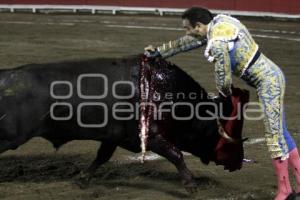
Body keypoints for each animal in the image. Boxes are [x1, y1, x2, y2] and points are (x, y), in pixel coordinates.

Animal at [0, 54, 248, 192]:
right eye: (221, 134)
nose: (239, 162)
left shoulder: (115, 137)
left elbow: (102, 157)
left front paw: (82, 180)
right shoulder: (147, 137)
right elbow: (176, 154)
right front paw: (191, 185)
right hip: (10, 137)